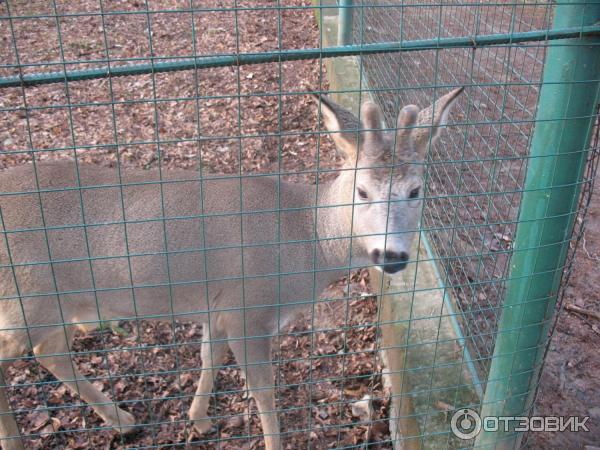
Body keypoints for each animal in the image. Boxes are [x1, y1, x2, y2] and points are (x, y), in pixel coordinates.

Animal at [0, 86, 464, 448]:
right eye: (362, 190)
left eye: (416, 190)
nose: (391, 256)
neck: (305, 240)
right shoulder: (248, 308)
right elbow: (262, 390)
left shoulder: (220, 306)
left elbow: (209, 357)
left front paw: (199, 419)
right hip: (26, 294)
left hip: (55, 302)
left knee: (50, 351)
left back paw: (122, 420)